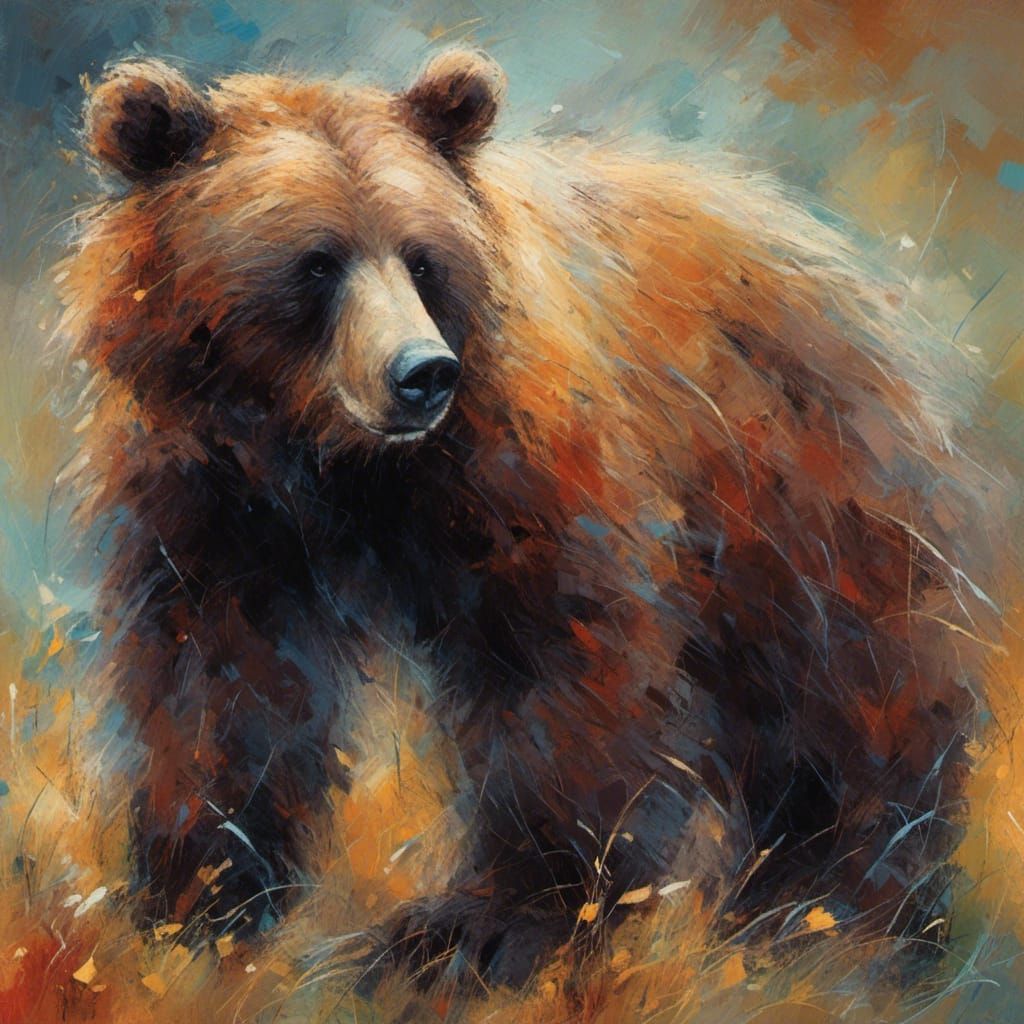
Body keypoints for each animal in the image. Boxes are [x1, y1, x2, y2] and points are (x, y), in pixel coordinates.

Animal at [58, 49, 1002, 988]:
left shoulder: (520, 469)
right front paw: (199, 895)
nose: (422, 372)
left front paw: (486, 926)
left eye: (422, 259)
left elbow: (556, 661)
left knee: (854, 687)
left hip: (796, 490)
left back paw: (843, 914)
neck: (338, 467)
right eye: (316, 262)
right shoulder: (213, 502)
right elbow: (219, 676)